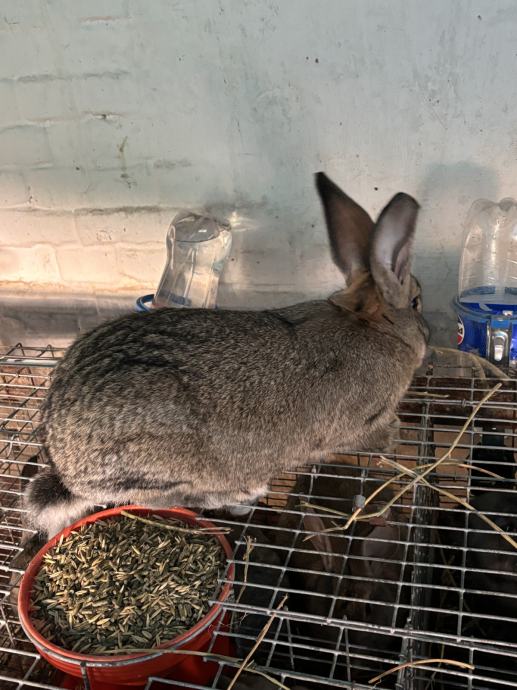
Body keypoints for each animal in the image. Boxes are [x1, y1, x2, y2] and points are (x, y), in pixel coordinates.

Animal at [25, 172, 428, 540]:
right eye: (416, 302)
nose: (427, 336)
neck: (374, 326)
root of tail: (66, 469)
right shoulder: (359, 423)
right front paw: (393, 436)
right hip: (160, 464)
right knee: (168, 498)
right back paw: (241, 495)